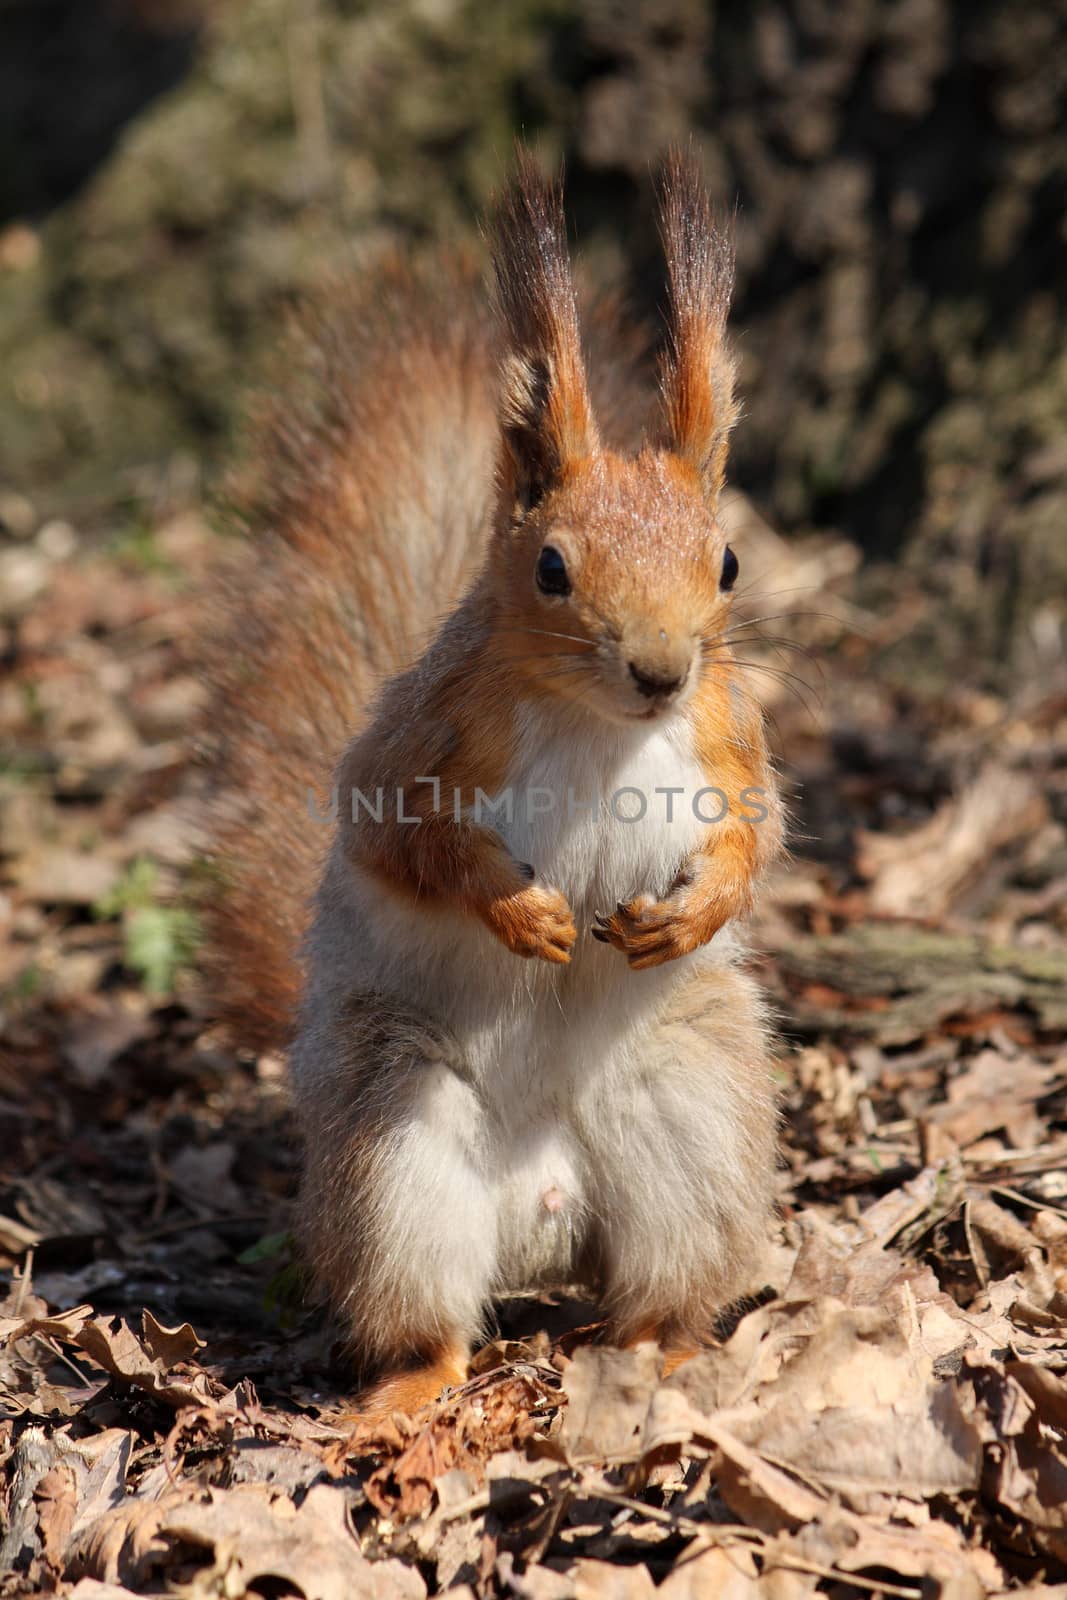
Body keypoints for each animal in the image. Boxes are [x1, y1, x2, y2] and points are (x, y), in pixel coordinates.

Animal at [204, 152, 783, 1427]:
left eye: (725, 561)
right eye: (550, 568)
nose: (660, 669)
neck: (602, 729)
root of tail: (540, 1216)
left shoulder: (727, 733)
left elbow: (756, 834)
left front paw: (696, 908)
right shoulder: (417, 742)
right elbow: (401, 843)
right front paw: (517, 910)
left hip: (690, 1115)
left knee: (662, 1282)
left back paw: (668, 1353)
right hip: (396, 1144)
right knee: (425, 1314)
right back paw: (408, 1391)